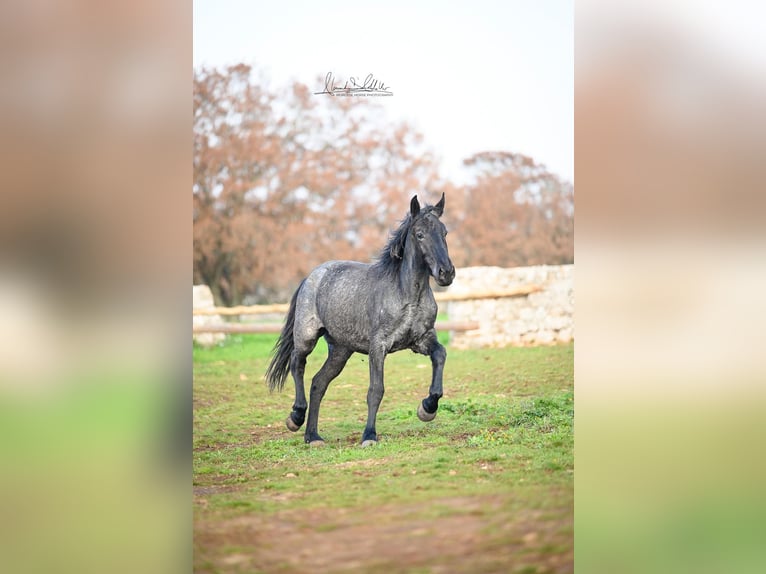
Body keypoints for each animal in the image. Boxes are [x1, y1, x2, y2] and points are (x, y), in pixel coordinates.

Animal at [268, 196, 456, 448]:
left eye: (444, 232)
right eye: (419, 234)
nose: (446, 273)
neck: (407, 295)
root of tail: (311, 276)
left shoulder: (421, 340)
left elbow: (440, 355)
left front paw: (427, 408)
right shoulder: (378, 346)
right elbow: (376, 390)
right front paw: (369, 436)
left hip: (340, 351)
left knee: (318, 383)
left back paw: (313, 437)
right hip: (306, 336)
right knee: (297, 363)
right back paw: (296, 417)